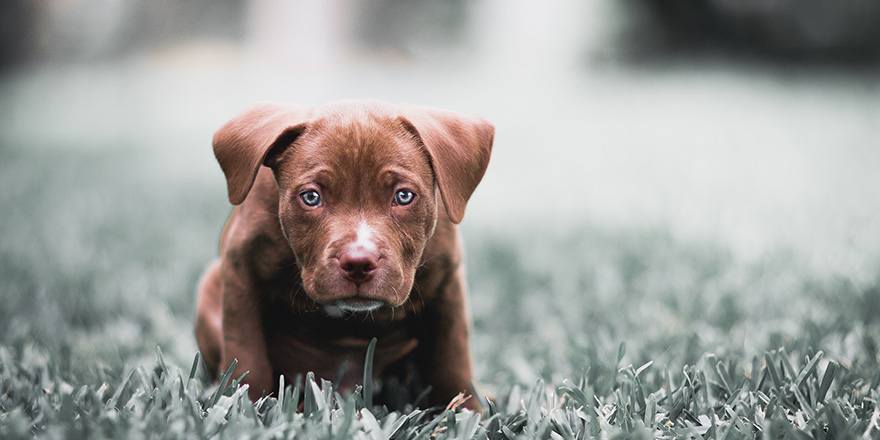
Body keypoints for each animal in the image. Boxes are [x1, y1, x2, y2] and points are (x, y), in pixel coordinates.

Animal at [194, 101, 496, 410]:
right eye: (311, 197)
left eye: (404, 196)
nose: (359, 263)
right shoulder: (242, 272)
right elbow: (245, 350)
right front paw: (241, 403)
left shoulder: (447, 285)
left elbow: (452, 358)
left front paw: (467, 410)